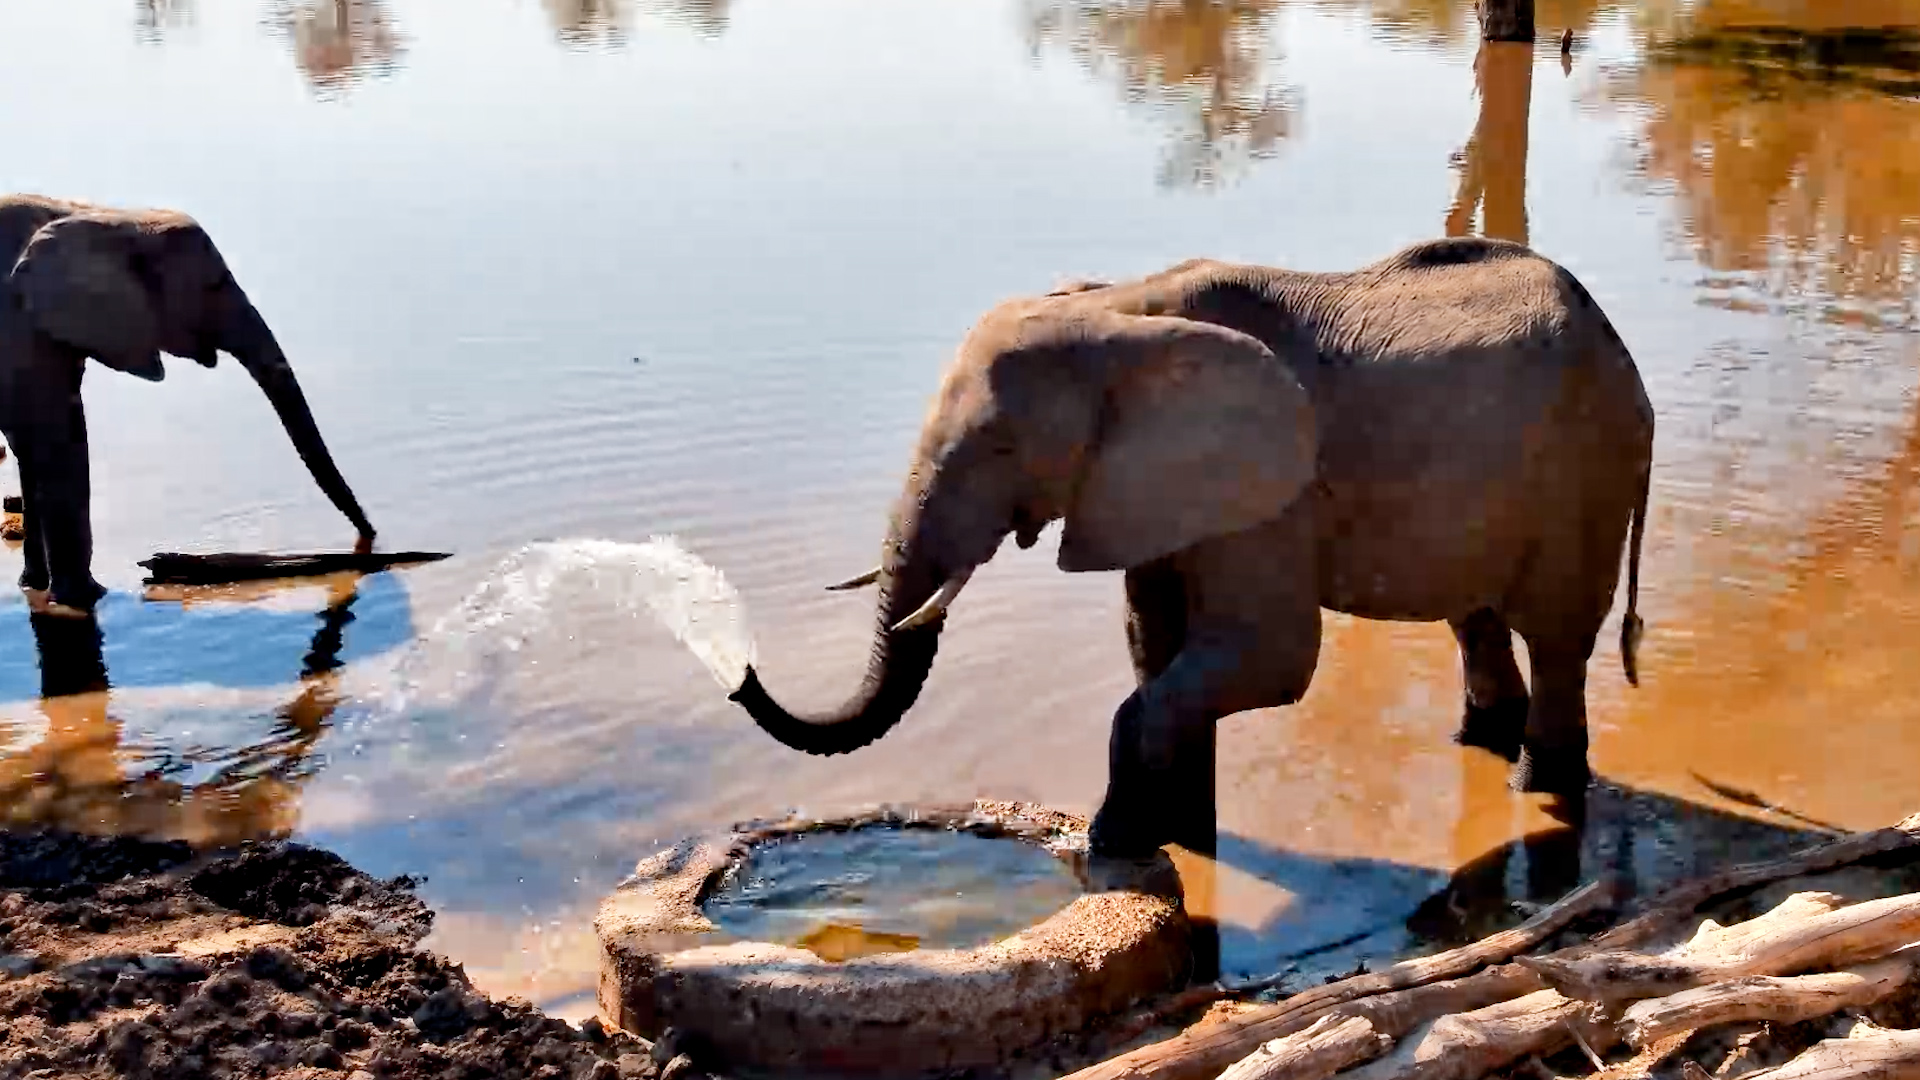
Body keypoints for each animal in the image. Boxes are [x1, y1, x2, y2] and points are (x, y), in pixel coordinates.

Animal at [0, 194, 375, 617]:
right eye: (214, 285)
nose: (369, 538)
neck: (96, 213)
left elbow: (48, 438)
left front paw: (48, 589)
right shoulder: (19, 330)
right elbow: (59, 444)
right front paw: (86, 598)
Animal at [727, 236, 1654, 859]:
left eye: (1001, 447)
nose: (739, 677)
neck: (1119, 306)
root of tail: (1618, 342)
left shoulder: (1268, 487)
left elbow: (1268, 655)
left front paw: (1110, 847)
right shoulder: (1142, 486)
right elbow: (1156, 646)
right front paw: (1179, 834)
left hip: (1587, 465)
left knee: (1556, 635)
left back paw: (1536, 785)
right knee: (1477, 617)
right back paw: (1480, 744)